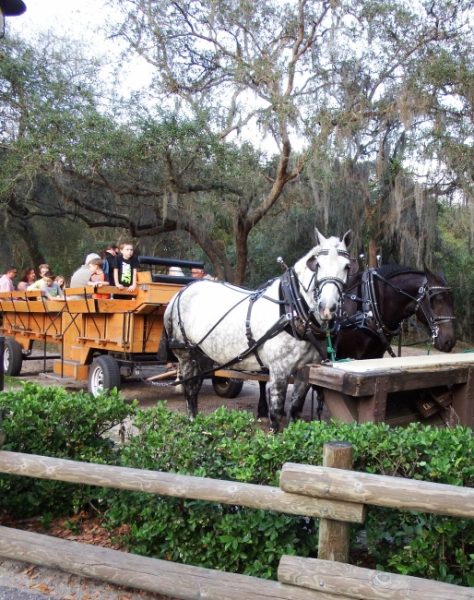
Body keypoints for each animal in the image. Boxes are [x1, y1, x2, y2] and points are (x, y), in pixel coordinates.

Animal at [163, 227, 352, 428]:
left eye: (347, 266)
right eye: (317, 265)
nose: (327, 308)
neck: (291, 310)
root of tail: (181, 292)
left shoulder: (305, 373)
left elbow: (295, 411)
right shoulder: (279, 370)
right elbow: (276, 414)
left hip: (202, 356)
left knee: (195, 387)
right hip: (186, 354)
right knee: (190, 390)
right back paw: (192, 422)